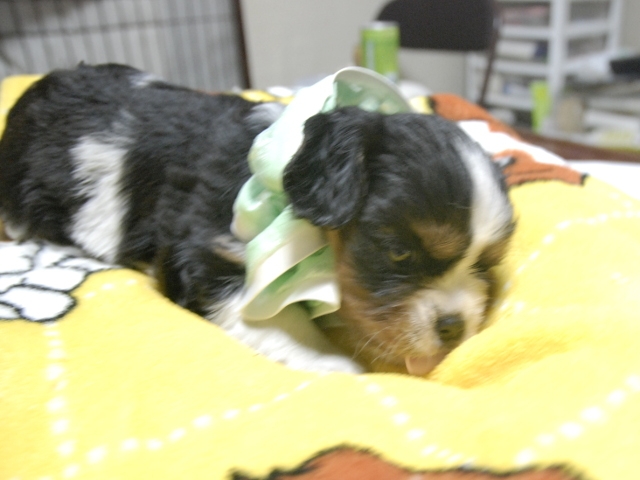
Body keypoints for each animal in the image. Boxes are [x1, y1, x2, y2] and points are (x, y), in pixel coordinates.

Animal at [0, 63, 514, 375]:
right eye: (399, 252)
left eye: (484, 264)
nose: (454, 328)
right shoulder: (206, 251)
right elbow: (275, 322)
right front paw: (335, 364)